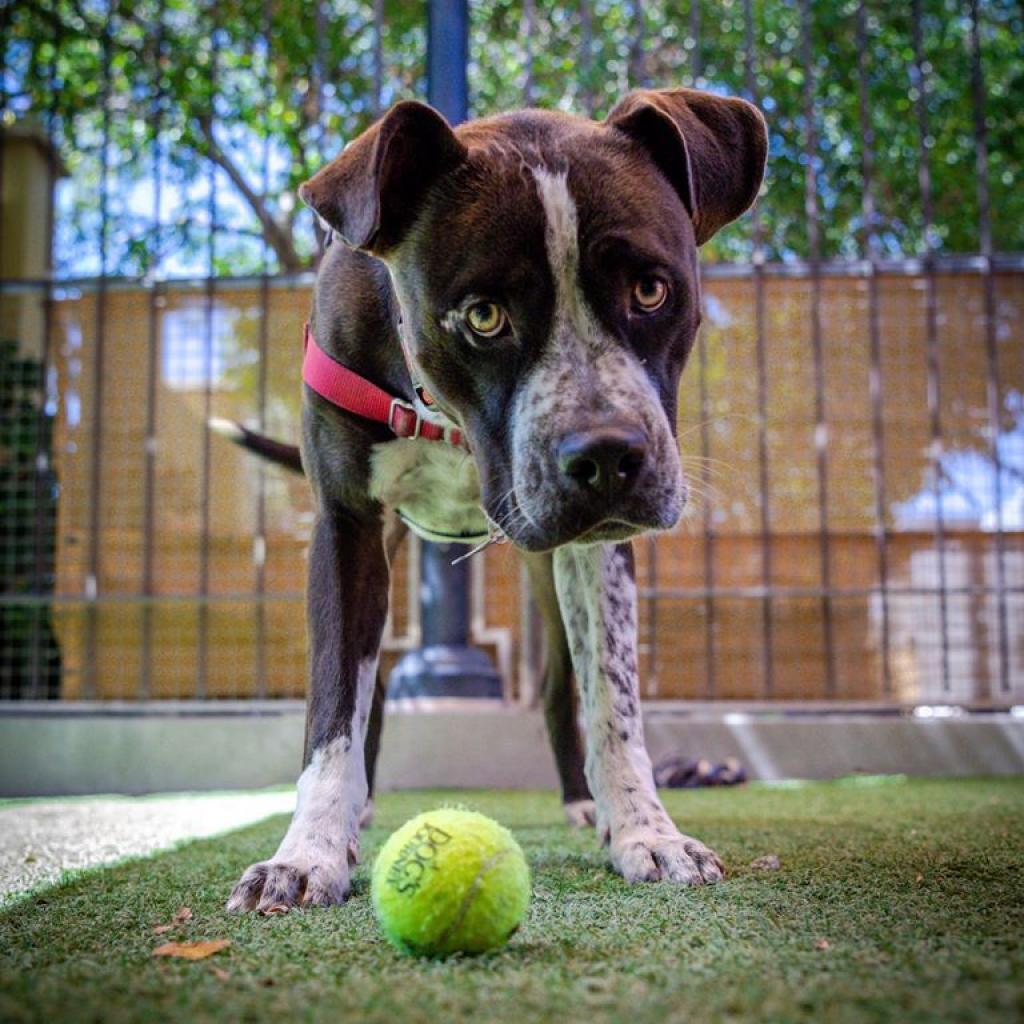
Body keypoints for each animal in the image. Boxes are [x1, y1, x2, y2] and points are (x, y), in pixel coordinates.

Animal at [224, 88, 770, 913]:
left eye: (650, 290)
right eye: (483, 315)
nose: (607, 457)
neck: (443, 415)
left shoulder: (597, 555)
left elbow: (614, 704)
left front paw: (647, 833)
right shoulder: (346, 529)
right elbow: (334, 708)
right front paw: (309, 851)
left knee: (557, 691)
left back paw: (584, 805)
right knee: (372, 688)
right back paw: (361, 809)